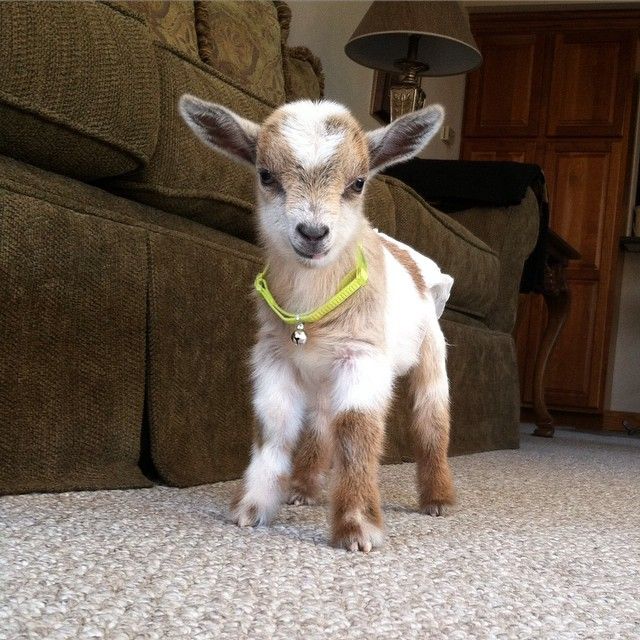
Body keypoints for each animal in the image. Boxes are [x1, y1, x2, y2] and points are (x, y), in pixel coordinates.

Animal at [180, 95, 456, 552]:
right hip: (323, 379)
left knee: (430, 421)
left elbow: (358, 432)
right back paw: (303, 489)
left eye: (358, 183)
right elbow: (274, 425)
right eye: (266, 175)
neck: (309, 312)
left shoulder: (362, 358)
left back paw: (438, 500)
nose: (312, 232)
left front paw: (358, 529)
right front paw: (252, 506)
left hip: (431, 354)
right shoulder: (274, 358)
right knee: (321, 425)